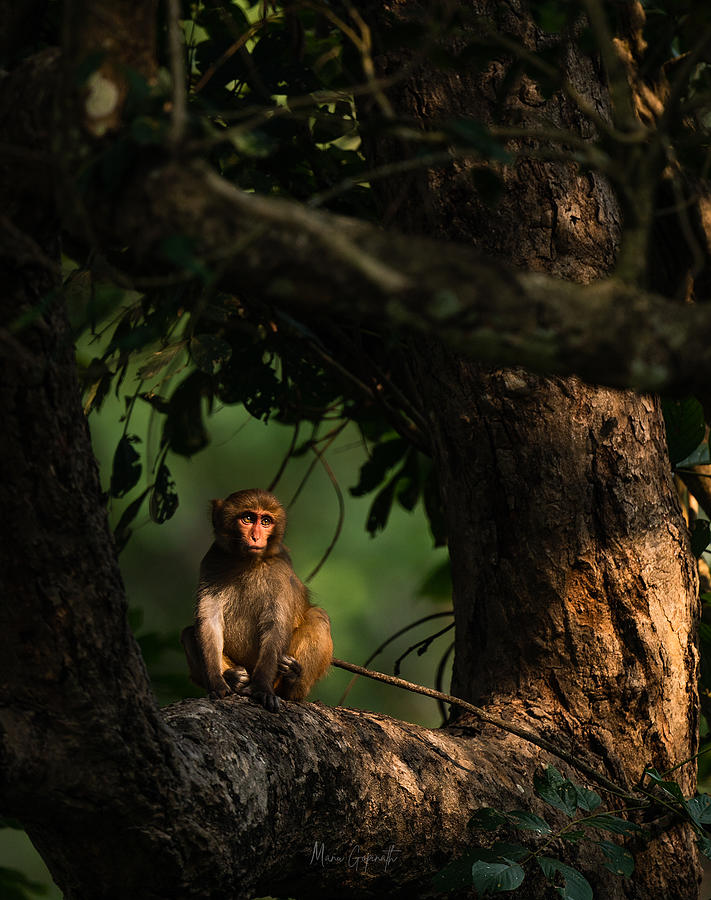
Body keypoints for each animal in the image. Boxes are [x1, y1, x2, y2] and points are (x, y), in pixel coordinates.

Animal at [181, 488, 330, 712]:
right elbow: (209, 621)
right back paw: (234, 678)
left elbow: (276, 624)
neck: (247, 561)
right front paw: (217, 682)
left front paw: (261, 688)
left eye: (266, 521)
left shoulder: (279, 569)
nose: (256, 537)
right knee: (189, 633)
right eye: (248, 518)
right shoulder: (213, 560)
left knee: (318, 616)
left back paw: (292, 682)